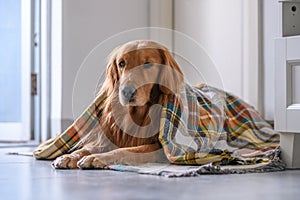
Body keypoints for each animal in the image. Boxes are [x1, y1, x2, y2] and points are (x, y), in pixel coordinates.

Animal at [52, 39, 184, 168]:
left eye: (148, 64)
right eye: (121, 63)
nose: (127, 91)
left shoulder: (161, 148)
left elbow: (127, 150)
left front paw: (98, 157)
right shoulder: (106, 139)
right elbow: (87, 148)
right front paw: (70, 156)